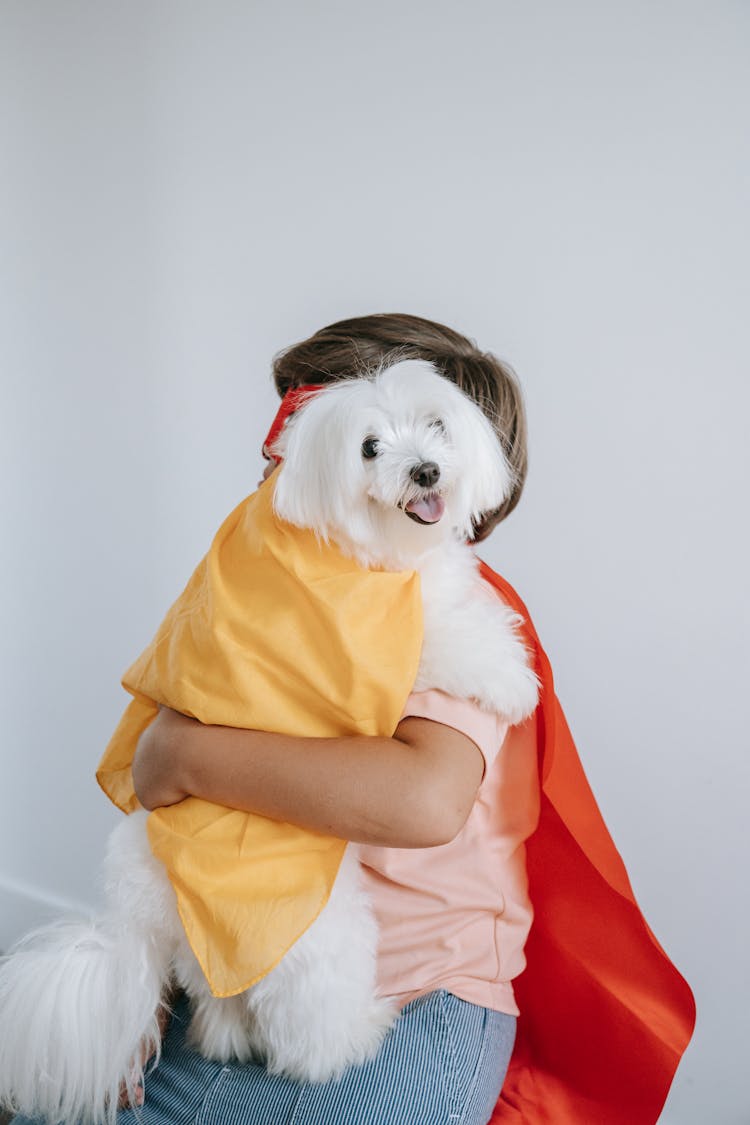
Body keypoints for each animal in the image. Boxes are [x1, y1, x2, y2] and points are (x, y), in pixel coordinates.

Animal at [0, 360, 539, 1125]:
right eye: (370, 448)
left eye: (435, 424)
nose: (426, 470)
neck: (365, 552)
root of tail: (135, 914)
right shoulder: (374, 642)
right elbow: (447, 638)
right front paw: (512, 675)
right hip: (309, 925)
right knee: (308, 1025)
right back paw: (358, 1036)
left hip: (213, 949)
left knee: (219, 995)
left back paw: (223, 1035)